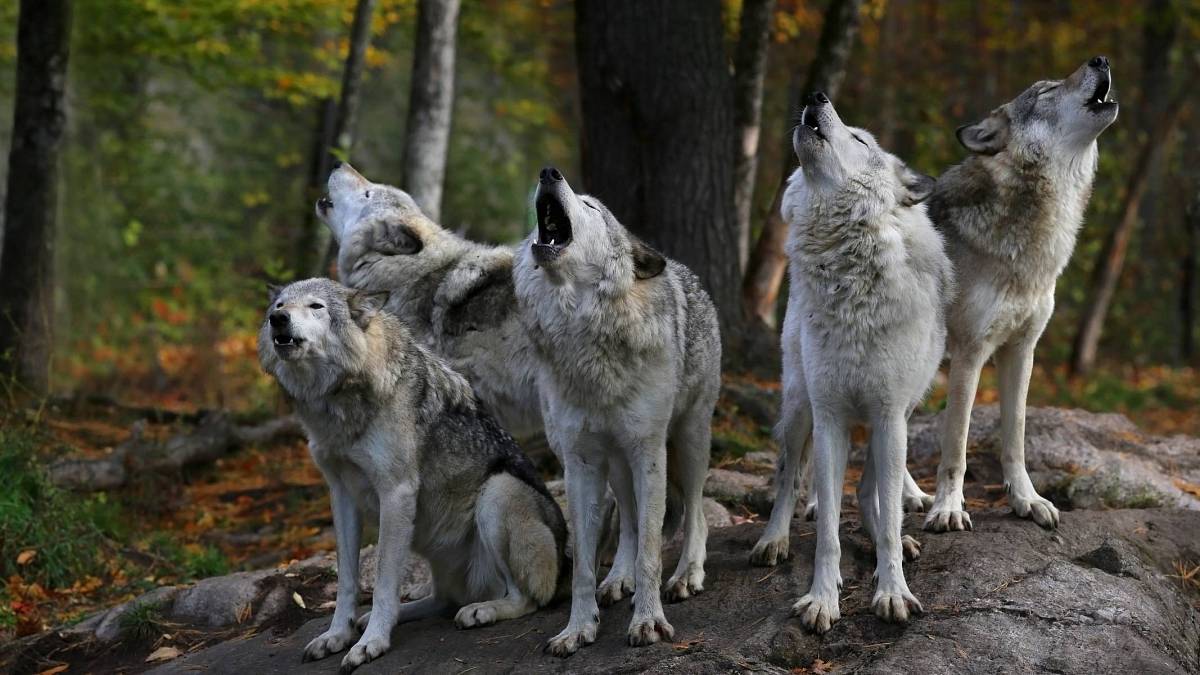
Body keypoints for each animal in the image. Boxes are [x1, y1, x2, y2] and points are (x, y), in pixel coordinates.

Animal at [255, 277, 564, 667]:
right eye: (280, 305)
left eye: (315, 306)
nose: (277, 319)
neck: (339, 401)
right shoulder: (341, 495)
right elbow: (347, 581)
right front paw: (336, 635)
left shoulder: (396, 491)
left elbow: (384, 580)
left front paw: (371, 643)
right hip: (434, 547)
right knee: (443, 599)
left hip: (497, 494)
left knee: (526, 598)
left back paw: (482, 610)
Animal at [768, 90, 955, 629]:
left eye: (859, 139)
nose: (815, 95)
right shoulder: (829, 417)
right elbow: (827, 528)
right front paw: (822, 598)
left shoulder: (889, 417)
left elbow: (887, 517)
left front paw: (892, 591)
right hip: (799, 407)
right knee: (789, 474)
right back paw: (772, 539)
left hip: (897, 418)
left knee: (870, 490)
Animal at [921, 56, 1118, 530]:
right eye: (1046, 91)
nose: (1100, 59)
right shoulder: (971, 353)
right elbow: (956, 444)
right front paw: (948, 508)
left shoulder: (1022, 350)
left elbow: (1016, 437)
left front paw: (1026, 501)